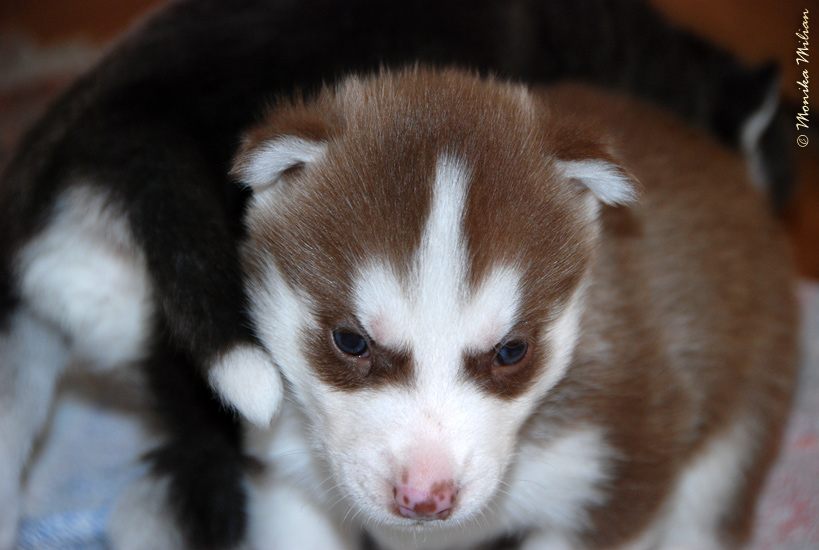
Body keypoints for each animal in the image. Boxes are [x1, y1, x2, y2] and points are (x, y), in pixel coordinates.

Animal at [219, 68, 797, 550]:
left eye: (512, 351)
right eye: (352, 341)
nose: (425, 497)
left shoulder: (620, 474)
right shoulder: (286, 474)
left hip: (732, 436)